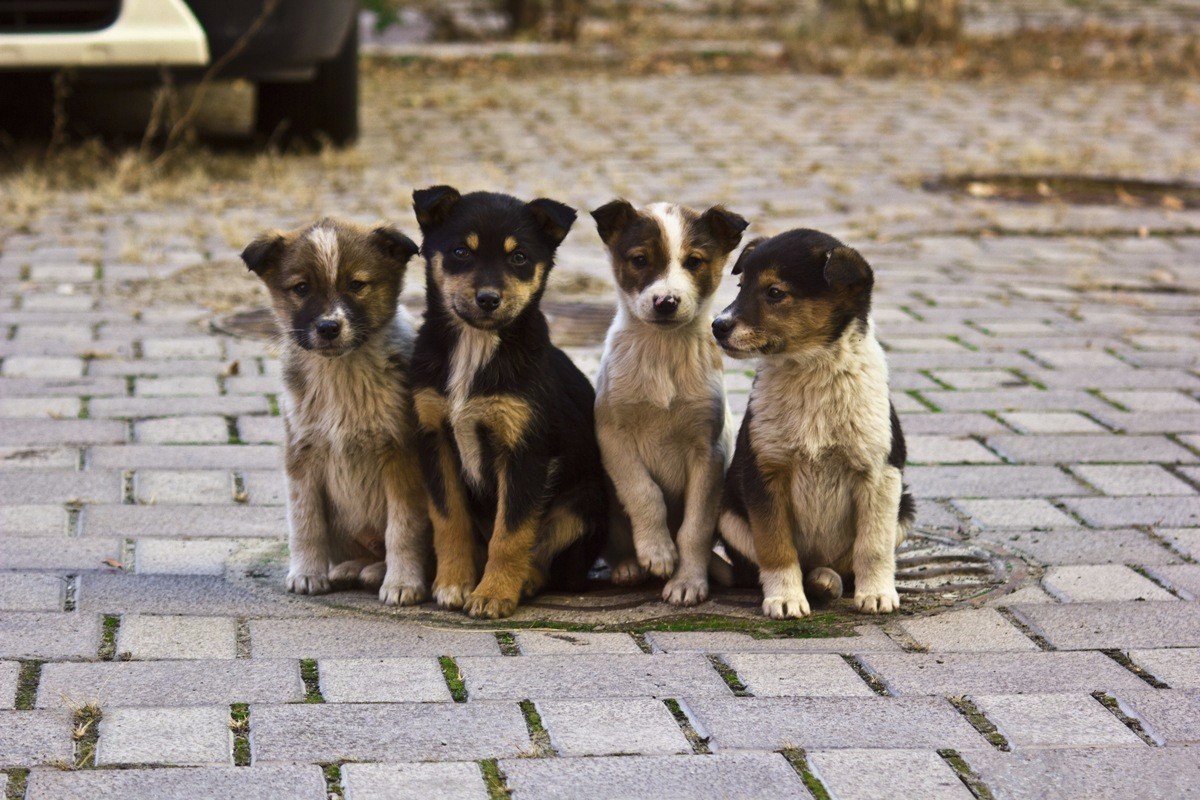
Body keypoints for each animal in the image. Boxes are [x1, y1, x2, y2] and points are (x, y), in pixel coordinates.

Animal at [241, 219, 434, 606]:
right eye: (301, 288)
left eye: (357, 285)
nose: (329, 327)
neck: (341, 375)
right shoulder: (301, 452)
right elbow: (305, 522)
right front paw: (306, 574)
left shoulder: (401, 453)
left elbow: (403, 528)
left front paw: (402, 583)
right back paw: (349, 569)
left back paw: (377, 573)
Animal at [410, 185, 604, 618]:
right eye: (461, 252)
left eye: (519, 258)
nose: (488, 299)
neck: (476, 345)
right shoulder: (434, 438)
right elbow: (449, 519)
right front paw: (453, 583)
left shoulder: (525, 451)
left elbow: (511, 532)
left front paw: (493, 594)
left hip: (582, 502)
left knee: (552, 557)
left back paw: (526, 580)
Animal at [592, 196, 748, 604]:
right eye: (639, 260)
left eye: (694, 262)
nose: (666, 301)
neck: (662, 352)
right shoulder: (613, 435)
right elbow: (644, 492)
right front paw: (658, 552)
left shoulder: (708, 452)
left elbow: (694, 528)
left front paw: (687, 581)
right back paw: (628, 566)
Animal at [705, 231, 912, 618]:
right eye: (741, 285)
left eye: (774, 292)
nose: (717, 327)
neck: (811, 371)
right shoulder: (764, 471)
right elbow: (775, 545)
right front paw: (785, 599)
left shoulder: (879, 473)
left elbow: (873, 546)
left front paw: (877, 594)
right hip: (728, 511)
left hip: (905, 509)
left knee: (846, 564)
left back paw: (829, 581)